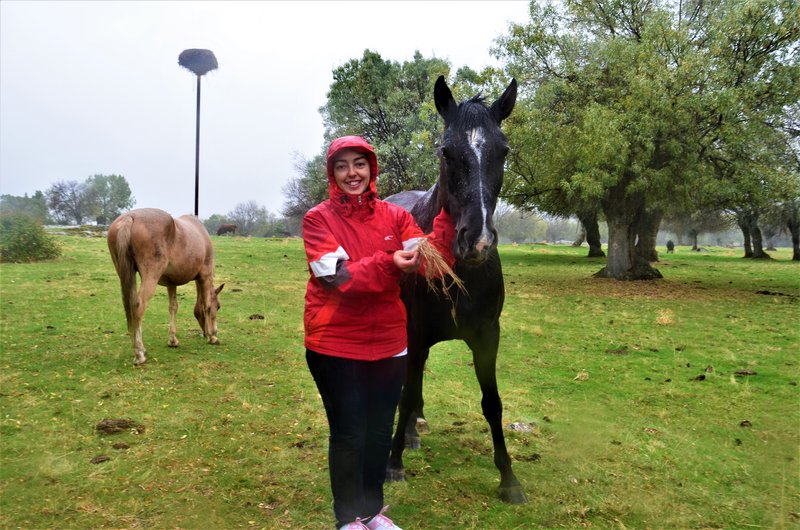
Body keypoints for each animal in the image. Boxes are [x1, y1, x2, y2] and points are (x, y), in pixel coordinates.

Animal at [106, 206, 225, 364]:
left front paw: (173, 340)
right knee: (138, 305)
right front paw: (212, 337)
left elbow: (173, 307)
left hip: (125, 273)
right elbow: (206, 305)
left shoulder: (171, 283)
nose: (216, 331)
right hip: (151, 275)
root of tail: (129, 218)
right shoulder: (205, 276)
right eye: (219, 306)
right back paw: (139, 353)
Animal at [384, 74, 528, 500]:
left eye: (503, 151)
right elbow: (405, 394)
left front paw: (509, 479)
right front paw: (393, 464)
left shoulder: (487, 336)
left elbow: (492, 403)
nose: (476, 241)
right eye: (446, 152)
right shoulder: (414, 334)